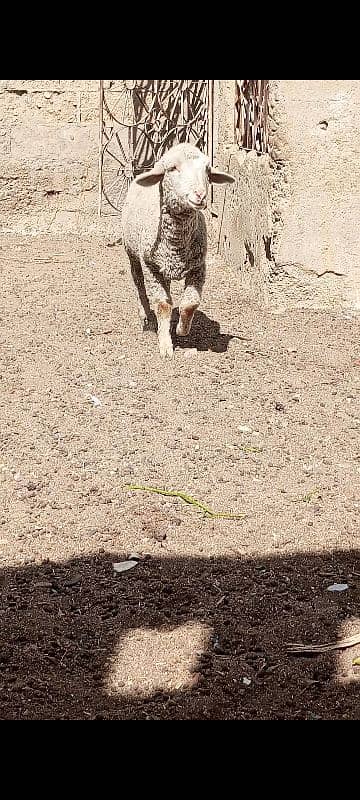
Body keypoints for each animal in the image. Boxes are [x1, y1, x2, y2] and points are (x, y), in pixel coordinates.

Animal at [121, 142, 236, 358]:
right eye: (173, 168)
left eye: (207, 170)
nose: (200, 195)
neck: (177, 244)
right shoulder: (151, 267)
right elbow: (163, 305)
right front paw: (166, 345)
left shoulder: (198, 267)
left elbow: (190, 303)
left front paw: (181, 329)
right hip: (133, 253)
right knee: (138, 283)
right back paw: (146, 317)